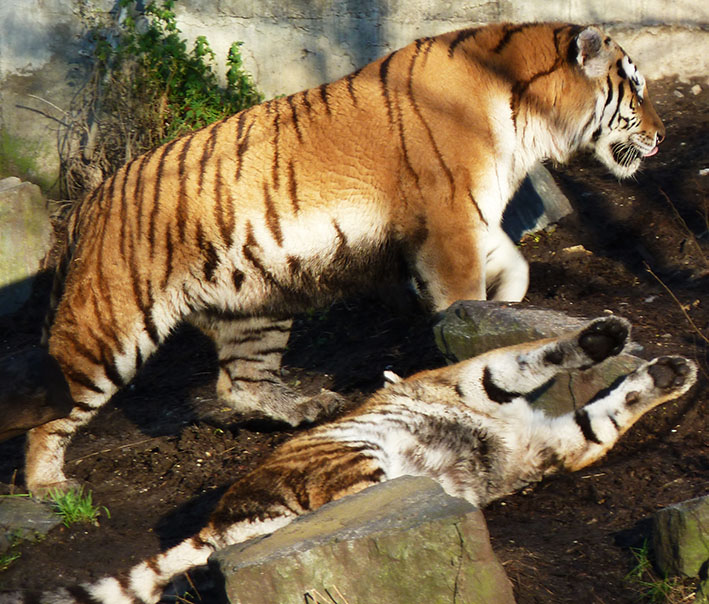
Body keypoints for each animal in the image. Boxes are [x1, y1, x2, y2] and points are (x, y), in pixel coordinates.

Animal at [0, 318, 696, 600]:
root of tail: (217, 524)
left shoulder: (552, 443)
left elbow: (613, 410)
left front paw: (673, 374)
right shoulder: (474, 377)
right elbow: (535, 354)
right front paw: (606, 337)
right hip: (358, 463)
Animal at [23, 23, 664, 496]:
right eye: (634, 90)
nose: (660, 136)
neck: (524, 110)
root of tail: (87, 204)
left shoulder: (470, 217)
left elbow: (515, 263)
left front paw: (502, 310)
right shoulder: (450, 223)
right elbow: (462, 295)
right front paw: (473, 335)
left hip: (256, 305)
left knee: (238, 384)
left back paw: (308, 406)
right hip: (109, 329)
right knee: (52, 412)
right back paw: (48, 486)